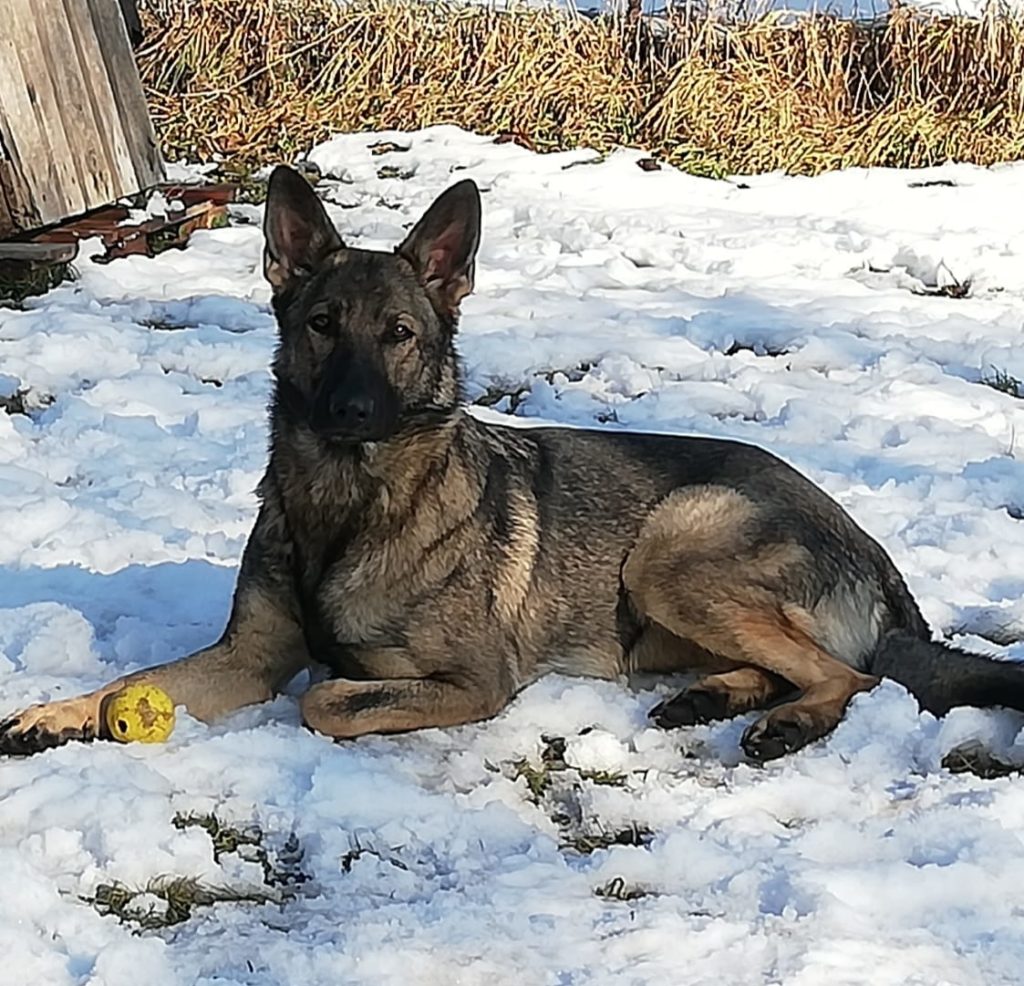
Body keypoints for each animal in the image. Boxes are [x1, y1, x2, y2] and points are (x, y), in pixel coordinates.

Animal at [2, 165, 1024, 757]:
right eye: (322, 325)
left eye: (400, 334)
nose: (350, 411)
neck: (349, 502)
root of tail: (874, 555)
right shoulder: (246, 658)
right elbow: (135, 685)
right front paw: (59, 713)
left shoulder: (476, 682)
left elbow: (325, 698)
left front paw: (341, 684)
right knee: (802, 665)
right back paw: (714, 699)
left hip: (674, 545)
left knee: (851, 676)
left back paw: (783, 724)